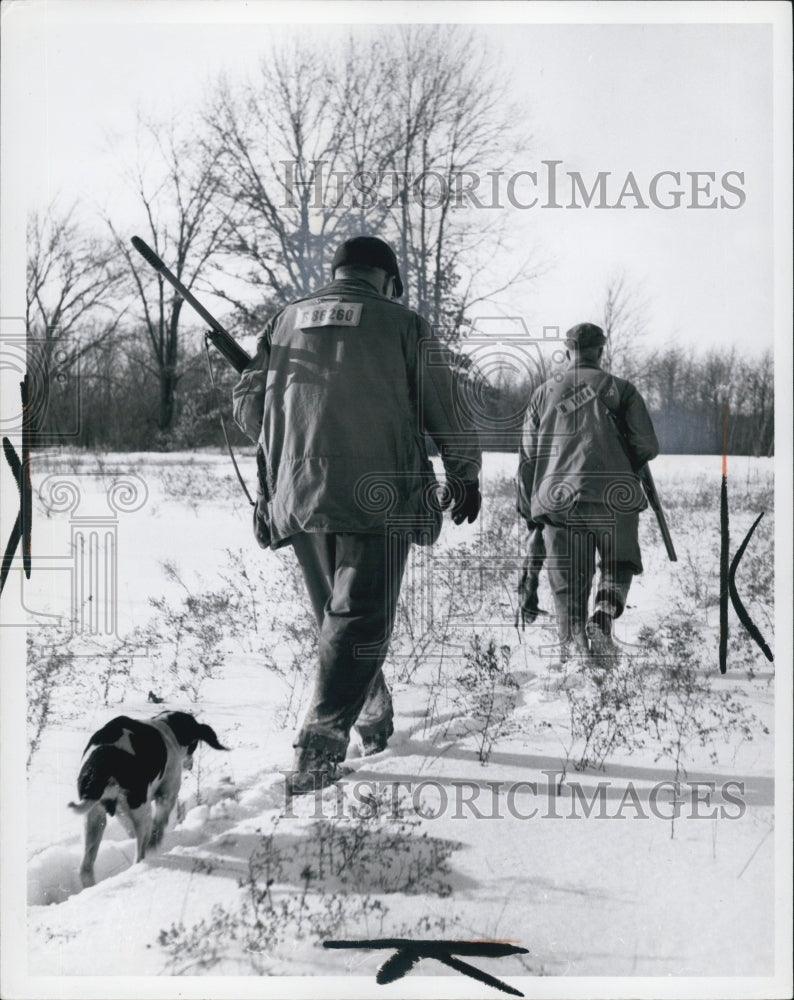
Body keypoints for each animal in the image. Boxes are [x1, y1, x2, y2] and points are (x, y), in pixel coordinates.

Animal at [69, 708, 227, 888]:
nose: (190, 764)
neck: (166, 726)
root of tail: (102, 761)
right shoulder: (167, 794)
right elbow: (159, 823)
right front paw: (156, 840)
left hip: (93, 819)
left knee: (85, 867)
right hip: (141, 814)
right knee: (140, 853)